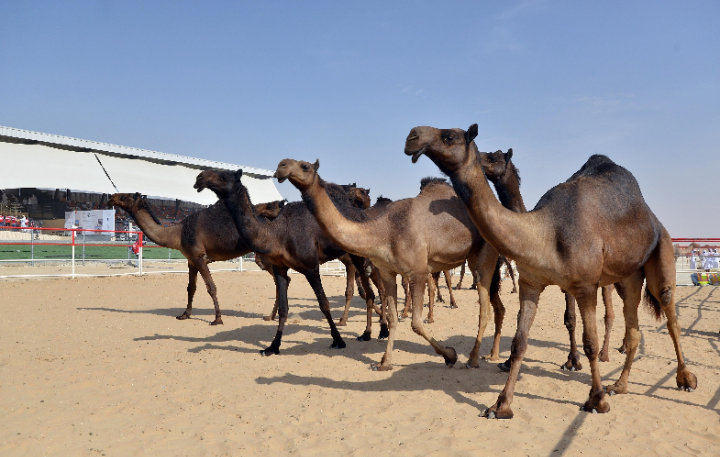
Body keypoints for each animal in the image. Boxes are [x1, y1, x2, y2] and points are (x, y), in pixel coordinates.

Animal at [108, 191, 260, 326]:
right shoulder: (191, 260)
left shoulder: (199, 258)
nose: (111, 197)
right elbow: (191, 287)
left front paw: (217, 319)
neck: (178, 233)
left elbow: (211, 288)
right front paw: (185, 314)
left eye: (125, 196)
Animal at [276, 159, 512, 368]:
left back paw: (473, 359)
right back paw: (492, 355)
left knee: (484, 307)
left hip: (486, 251)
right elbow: (392, 317)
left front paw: (450, 355)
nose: (281, 166)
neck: (383, 231)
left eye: (304, 166)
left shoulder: (418, 271)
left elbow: (416, 323)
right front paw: (384, 362)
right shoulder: (387, 271)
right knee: (496, 304)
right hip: (474, 256)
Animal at [408, 124, 700, 416]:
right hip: (628, 276)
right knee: (634, 327)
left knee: (669, 313)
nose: (412, 136)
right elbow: (519, 342)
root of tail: (652, 218)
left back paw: (684, 378)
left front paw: (596, 398)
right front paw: (501, 404)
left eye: (449, 136)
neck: (544, 232)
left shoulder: (584, 286)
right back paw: (619, 384)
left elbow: (589, 341)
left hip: (661, 249)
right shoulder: (530, 283)